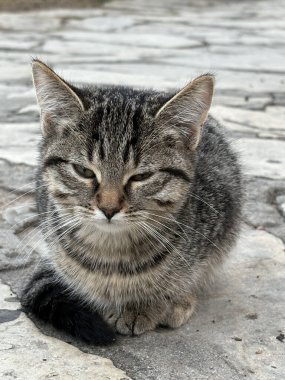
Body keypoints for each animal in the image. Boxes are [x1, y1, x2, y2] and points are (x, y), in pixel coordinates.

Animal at [21, 59, 241, 344]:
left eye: (142, 176)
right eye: (84, 171)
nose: (109, 208)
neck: (112, 255)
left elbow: (186, 276)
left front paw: (156, 304)